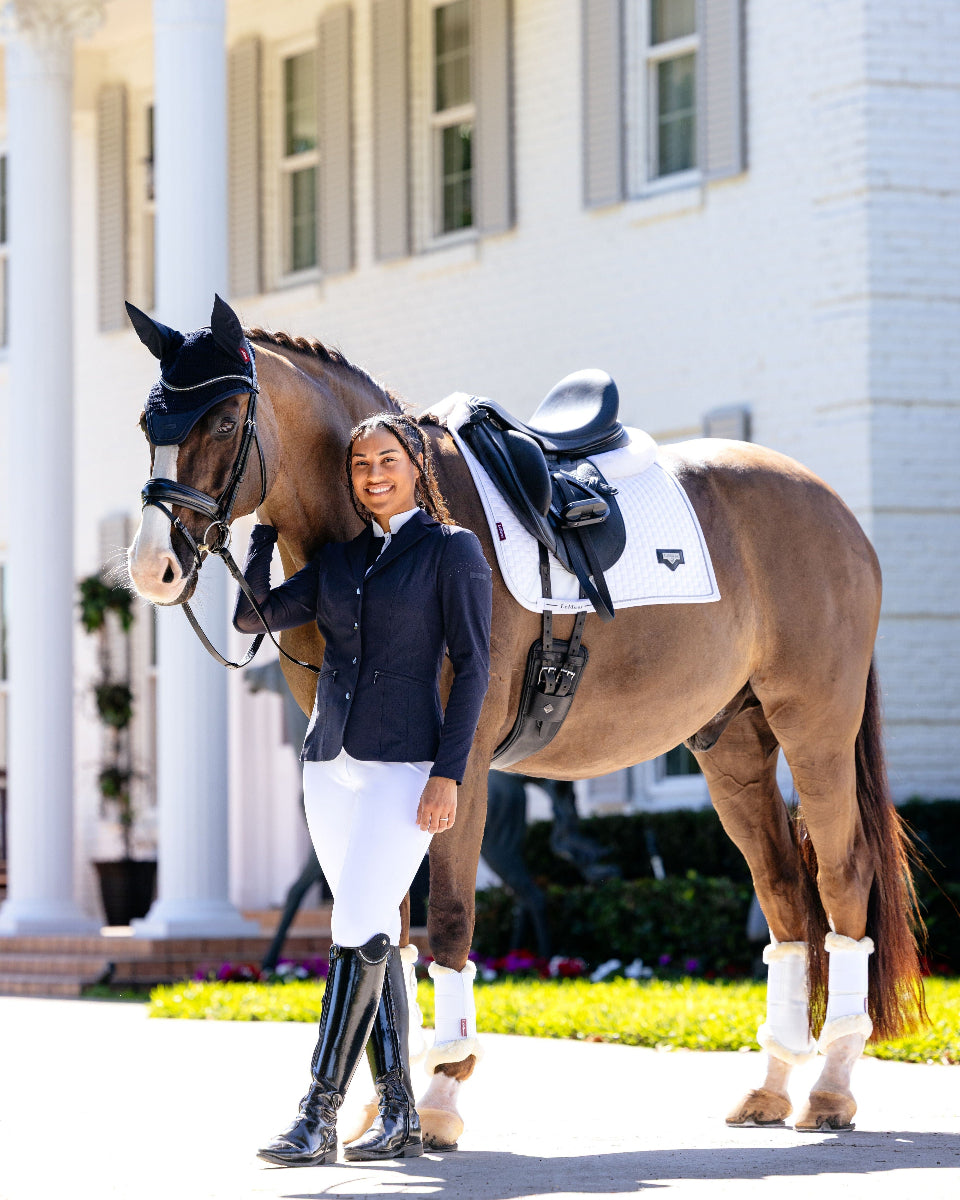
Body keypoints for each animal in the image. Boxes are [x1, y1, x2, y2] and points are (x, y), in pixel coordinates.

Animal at [126, 298, 922, 1146]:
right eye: (149, 422)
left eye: (224, 420)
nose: (152, 567)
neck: (378, 541)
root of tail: (832, 508)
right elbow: (384, 931)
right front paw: (384, 1109)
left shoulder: (461, 767)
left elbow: (446, 921)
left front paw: (441, 1097)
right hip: (732, 746)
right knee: (781, 892)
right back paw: (772, 1084)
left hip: (815, 728)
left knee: (841, 876)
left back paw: (831, 1085)